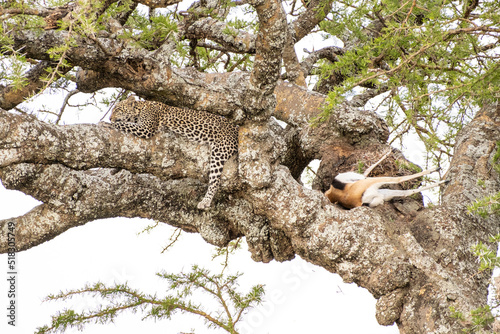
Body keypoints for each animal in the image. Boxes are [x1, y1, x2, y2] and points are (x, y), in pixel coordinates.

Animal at [105, 95, 238, 209]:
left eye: (117, 109)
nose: (110, 118)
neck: (140, 109)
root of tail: (236, 130)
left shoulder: (146, 129)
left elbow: (124, 123)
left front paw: (106, 123)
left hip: (220, 151)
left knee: (215, 180)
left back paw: (205, 201)